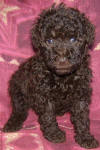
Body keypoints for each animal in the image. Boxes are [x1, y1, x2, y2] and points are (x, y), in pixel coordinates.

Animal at [2, 2, 99, 149]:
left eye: (73, 39)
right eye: (49, 41)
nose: (62, 59)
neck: (62, 78)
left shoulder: (81, 93)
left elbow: (82, 116)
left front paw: (85, 137)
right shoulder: (43, 93)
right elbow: (47, 115)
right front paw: (54, 135)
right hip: (16, 88)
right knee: (19, 109)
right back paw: (12, 123)